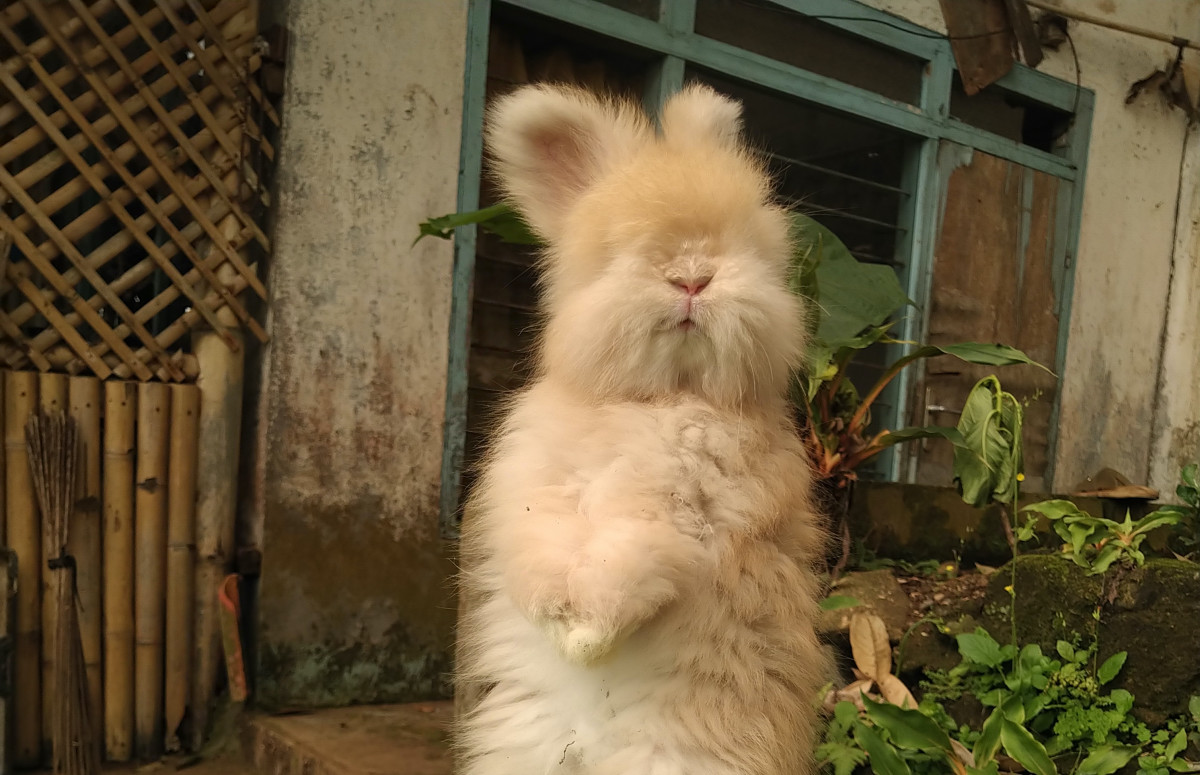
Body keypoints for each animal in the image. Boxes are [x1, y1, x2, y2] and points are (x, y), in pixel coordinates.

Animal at [455, 82, 830, 775]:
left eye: (745, 248)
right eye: (618, 252)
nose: (692, 277)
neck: (655, 399)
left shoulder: (689, 515)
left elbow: (633, 560)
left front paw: (587, 640)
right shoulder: (534, 490)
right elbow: (539, 551)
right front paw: (564, 629)